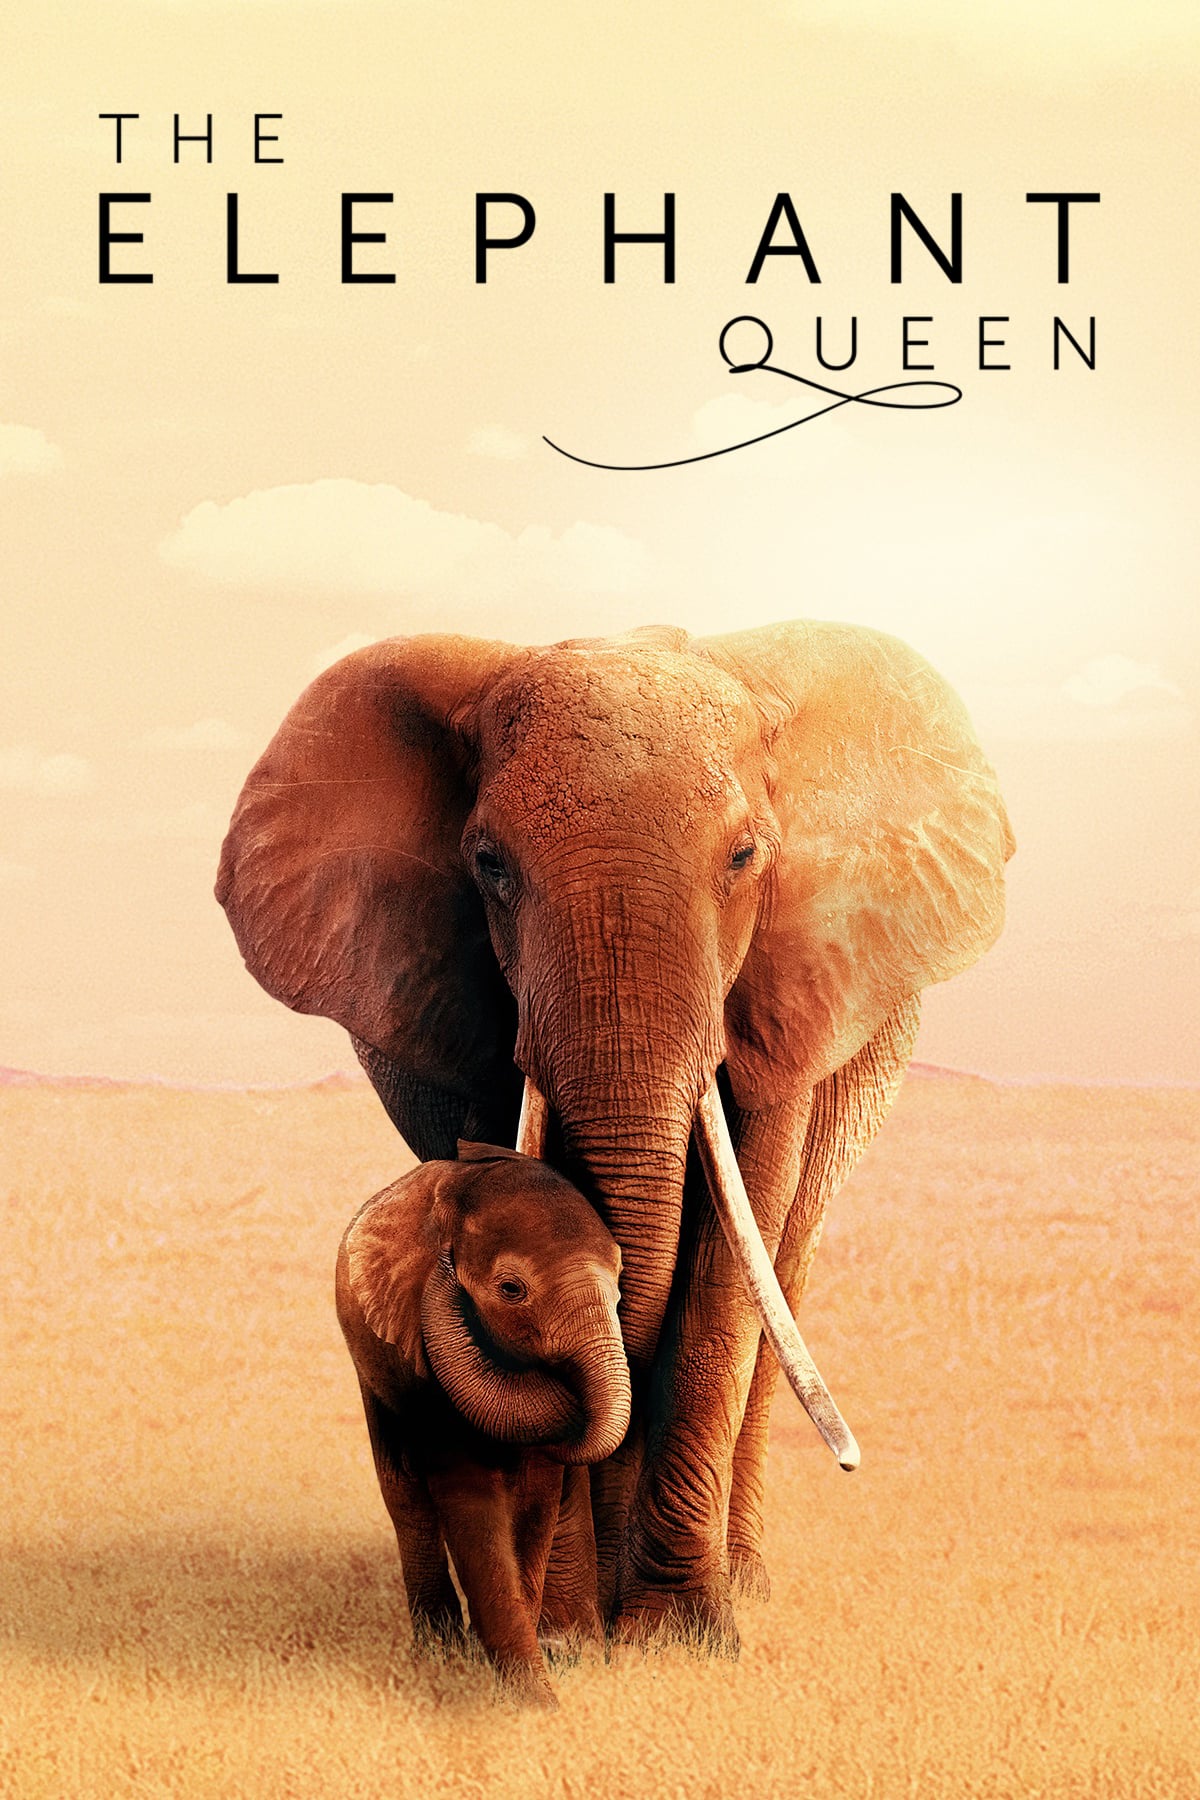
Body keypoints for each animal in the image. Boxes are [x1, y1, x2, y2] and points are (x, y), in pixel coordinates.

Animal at [219, 618, 1013, 1647]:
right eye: (489, 865)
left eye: (745, 858)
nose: (852, 1463)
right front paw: (569, 1634)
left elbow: (724, 1268)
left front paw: (682, 1637)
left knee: (782, 1272)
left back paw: (734, 1581)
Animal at [336, 1140, 629, 1706]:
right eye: (511, 1289)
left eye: (620, 1286)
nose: (555, 1711)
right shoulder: (417, 1353)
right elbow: (468, 1490)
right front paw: (522, 1696)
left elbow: (535, 1499)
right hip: (369, 1366)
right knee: (404, 1494)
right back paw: (439, 1650)